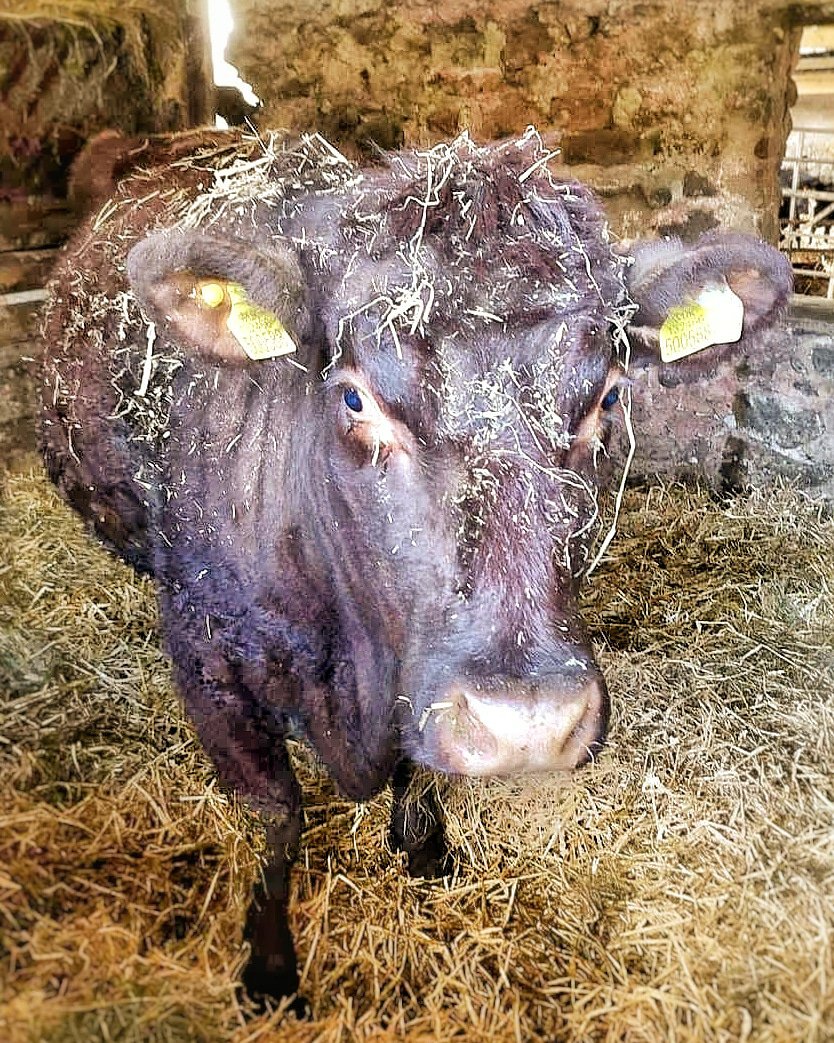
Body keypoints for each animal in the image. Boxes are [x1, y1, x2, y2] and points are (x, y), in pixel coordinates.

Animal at [40, 127, 791, 1012]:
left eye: (609, 395)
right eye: (354, 398)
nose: (528, 722)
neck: (350, 667)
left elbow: (421, 770)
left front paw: (427, 852)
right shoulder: (209, 668)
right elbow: (275, 816)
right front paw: (270, 966)